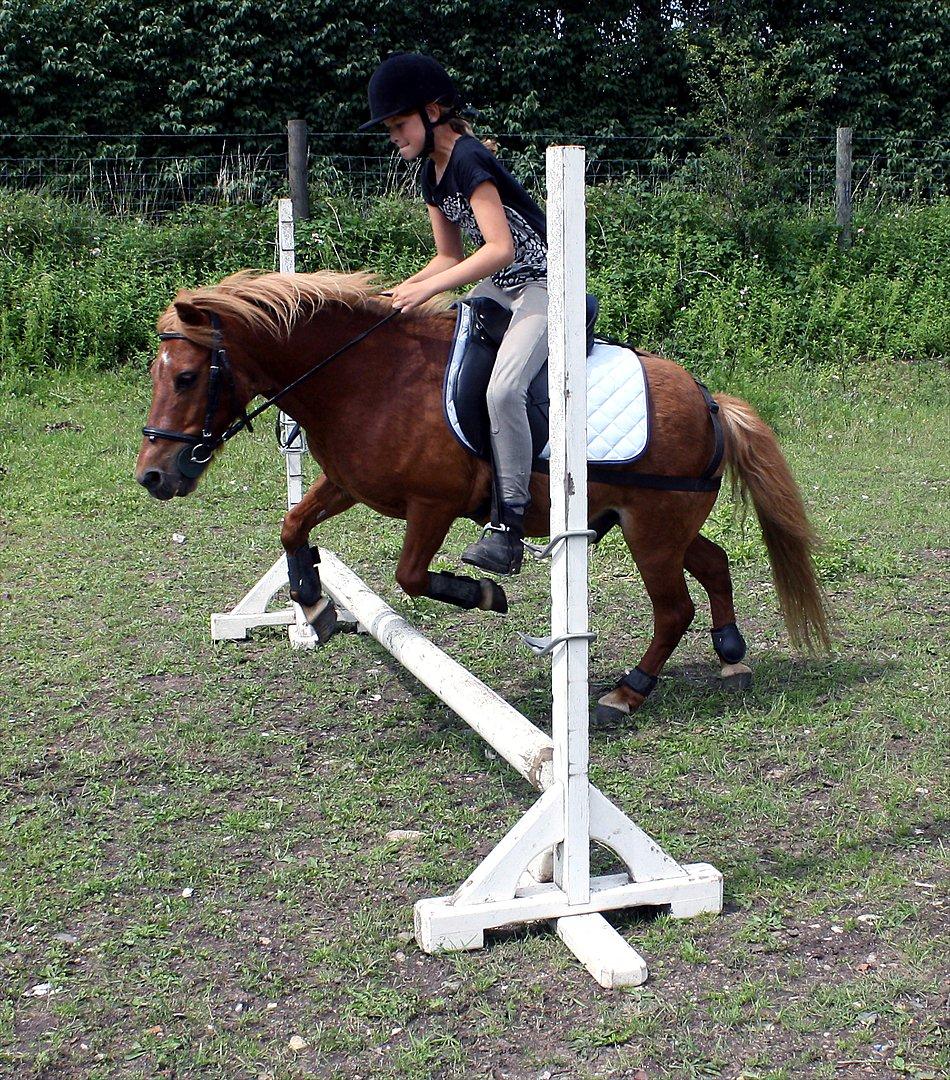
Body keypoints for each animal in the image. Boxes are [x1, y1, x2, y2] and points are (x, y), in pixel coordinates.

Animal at [137, 268, 829, 717]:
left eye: (189, 377)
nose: (153, 476)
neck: (368, 377)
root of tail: (710, 401)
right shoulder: (349, 483)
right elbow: (294, 527)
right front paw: (312, 604)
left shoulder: (434, 505)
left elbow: (413, 576)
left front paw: (484, 592)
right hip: (662, 525)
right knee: (714, 562)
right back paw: (731, 655)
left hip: (653, 532)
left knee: (673, 608)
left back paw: (626, 692)